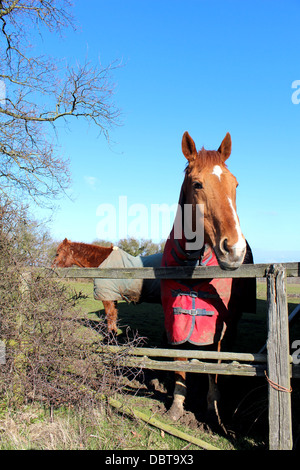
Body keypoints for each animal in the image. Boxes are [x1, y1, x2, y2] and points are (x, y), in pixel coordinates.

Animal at [161, 131, 254, 426]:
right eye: (198, 184)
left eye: (236, 184)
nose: (235, 249)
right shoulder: (174, 317)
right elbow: (178, 357)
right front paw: (177, 405)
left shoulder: (219, 324)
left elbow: (214, 364)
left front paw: (213, 408)